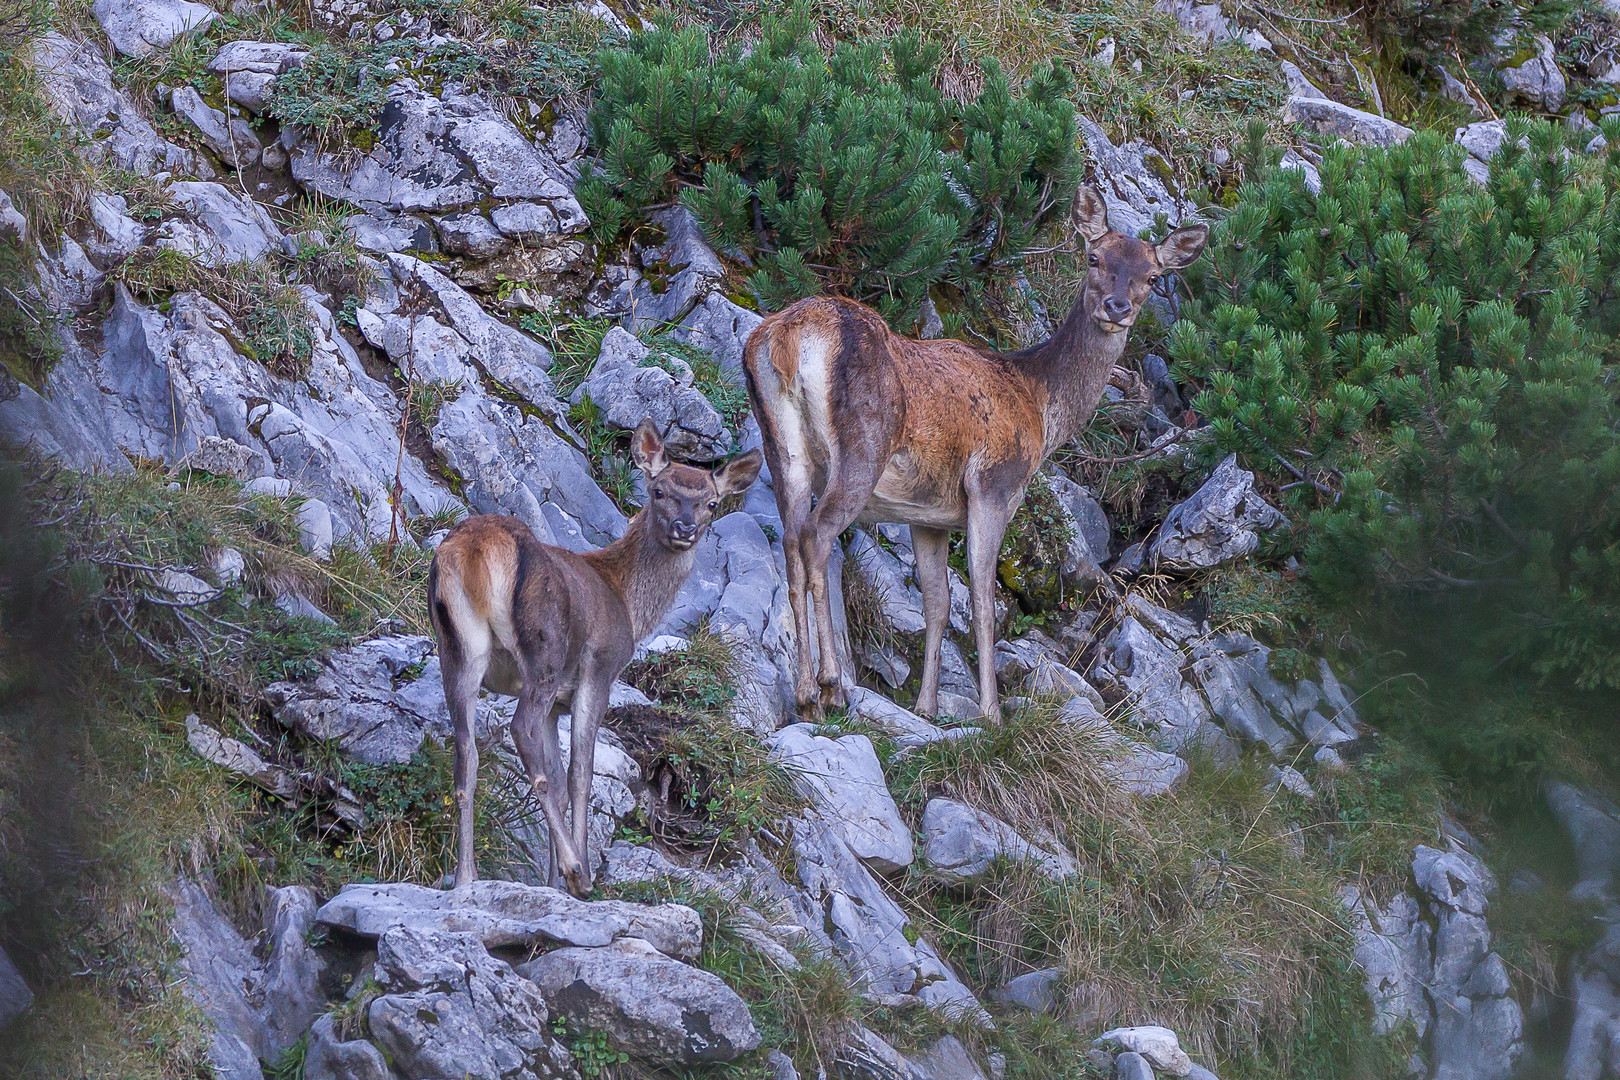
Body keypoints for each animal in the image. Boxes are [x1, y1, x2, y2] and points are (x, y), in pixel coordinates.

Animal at [427, 420, 761, 893]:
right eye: (658, 490)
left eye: (711, 503)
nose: (684, 527)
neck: (627, 601)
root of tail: (474, 552)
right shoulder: (598, 670)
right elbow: (579, 776)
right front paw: (572, 872)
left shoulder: (558, 705)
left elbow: (560, 777)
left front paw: (549, 882)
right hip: (544, 649)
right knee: (520, 729)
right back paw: (576, 871)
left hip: (456, 649)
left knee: (465, 753)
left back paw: (465, 877)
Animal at [741, 186, 1205, 725]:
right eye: (1094, 258)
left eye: (1152, 277)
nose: (1117, 306)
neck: (1039, 406)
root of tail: (787, 339)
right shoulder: (993, 486)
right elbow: (982, 602)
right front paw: (991, 714)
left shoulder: (927, 515)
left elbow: (938, 605)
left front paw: (926, 705)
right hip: (861, 447)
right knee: (816, 536)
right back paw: (832, 685)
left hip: (782, 448)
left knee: (791, 540)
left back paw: (804, 694)